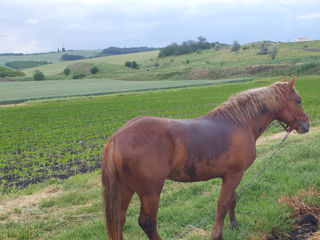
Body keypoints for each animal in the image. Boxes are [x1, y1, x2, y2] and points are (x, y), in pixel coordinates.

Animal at [101, 77, 308, 240]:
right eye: (298, 100)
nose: (306, 125)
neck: (240, 123)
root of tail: (116, 137)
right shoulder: (234, 174)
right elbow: (222, 205)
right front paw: (217, 234)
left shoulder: (232, 175)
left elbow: (232, 200)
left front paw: (234, 226)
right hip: (150, 192)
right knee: (148, 222)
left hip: (125, 189)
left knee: (119, 219)